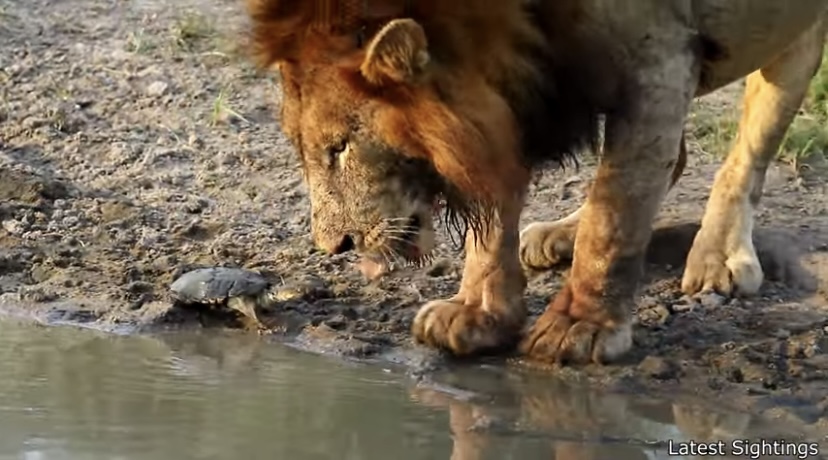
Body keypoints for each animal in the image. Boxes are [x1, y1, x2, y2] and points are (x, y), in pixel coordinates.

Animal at [244, 0, 828, 364]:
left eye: (339, 147)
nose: (333, 245)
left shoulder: (660, 62)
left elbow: (614, 215)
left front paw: (582, 326)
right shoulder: (511, 95)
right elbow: (493, 223)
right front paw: (479, 314)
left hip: (795, 38)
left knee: (745, 156)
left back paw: (717, 256)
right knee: (674, 159)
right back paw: (557, 234)